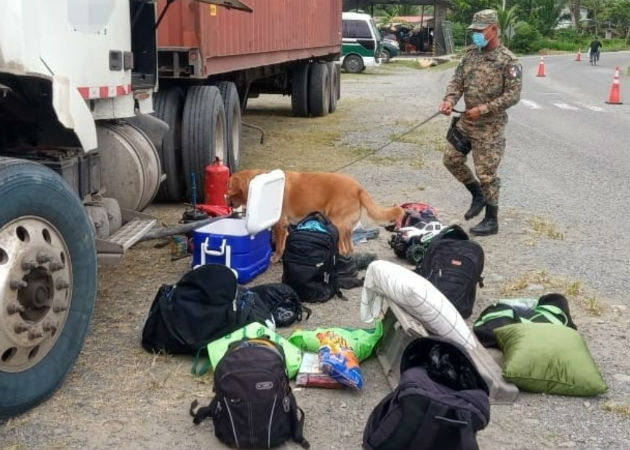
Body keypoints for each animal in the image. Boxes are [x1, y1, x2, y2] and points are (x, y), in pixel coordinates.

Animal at [227, 170, 404, 262]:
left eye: (229, 188)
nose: (226, 201)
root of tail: (359, 188)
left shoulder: (280, 225)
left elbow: (280, 245)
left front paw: (276, 257)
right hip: (346, 229)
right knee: (350, 248)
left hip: (336, 223)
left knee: (343, 248)